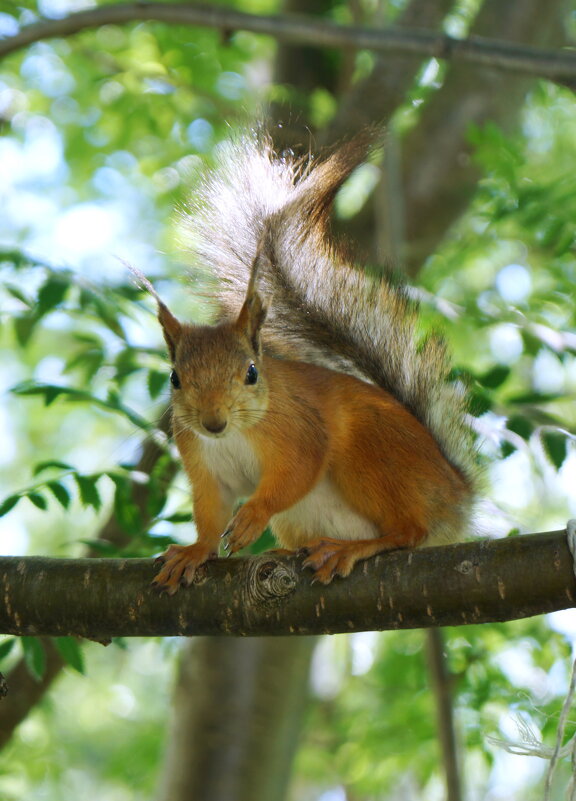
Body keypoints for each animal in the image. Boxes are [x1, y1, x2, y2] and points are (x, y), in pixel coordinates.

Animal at [141, 133, 476, 592]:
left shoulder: (300, 429)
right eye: (175, 378)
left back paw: (350, 549)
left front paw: (252, 517)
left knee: (408, 531)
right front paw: (194, 552)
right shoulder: (203, 463)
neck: (234, 436)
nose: (213, 423)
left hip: (373, 457)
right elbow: (211, 512)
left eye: (251, 372)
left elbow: (297, 473)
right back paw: (290, 552)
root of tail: (455, 499)